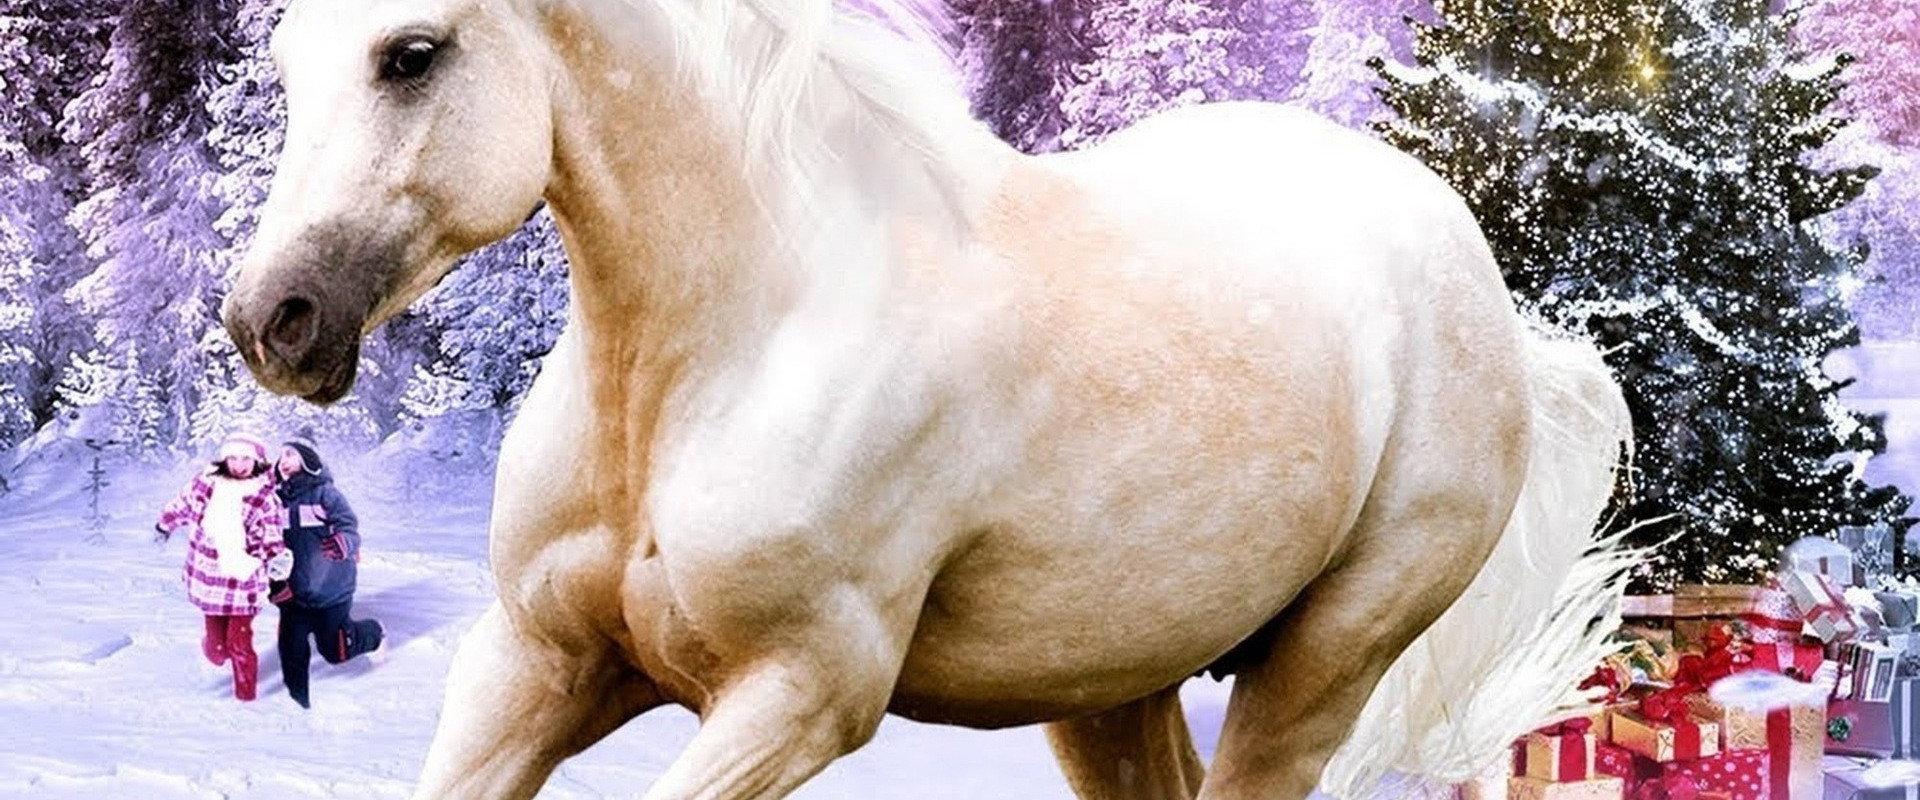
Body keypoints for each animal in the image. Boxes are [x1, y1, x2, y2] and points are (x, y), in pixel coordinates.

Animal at [222, 0, 1636, 797]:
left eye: (412, 53)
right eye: (284, 58)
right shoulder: (531, 663)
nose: (270, 320)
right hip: (1111, 679)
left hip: (1326, 659)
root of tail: (1475, 278)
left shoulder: (801, 692)